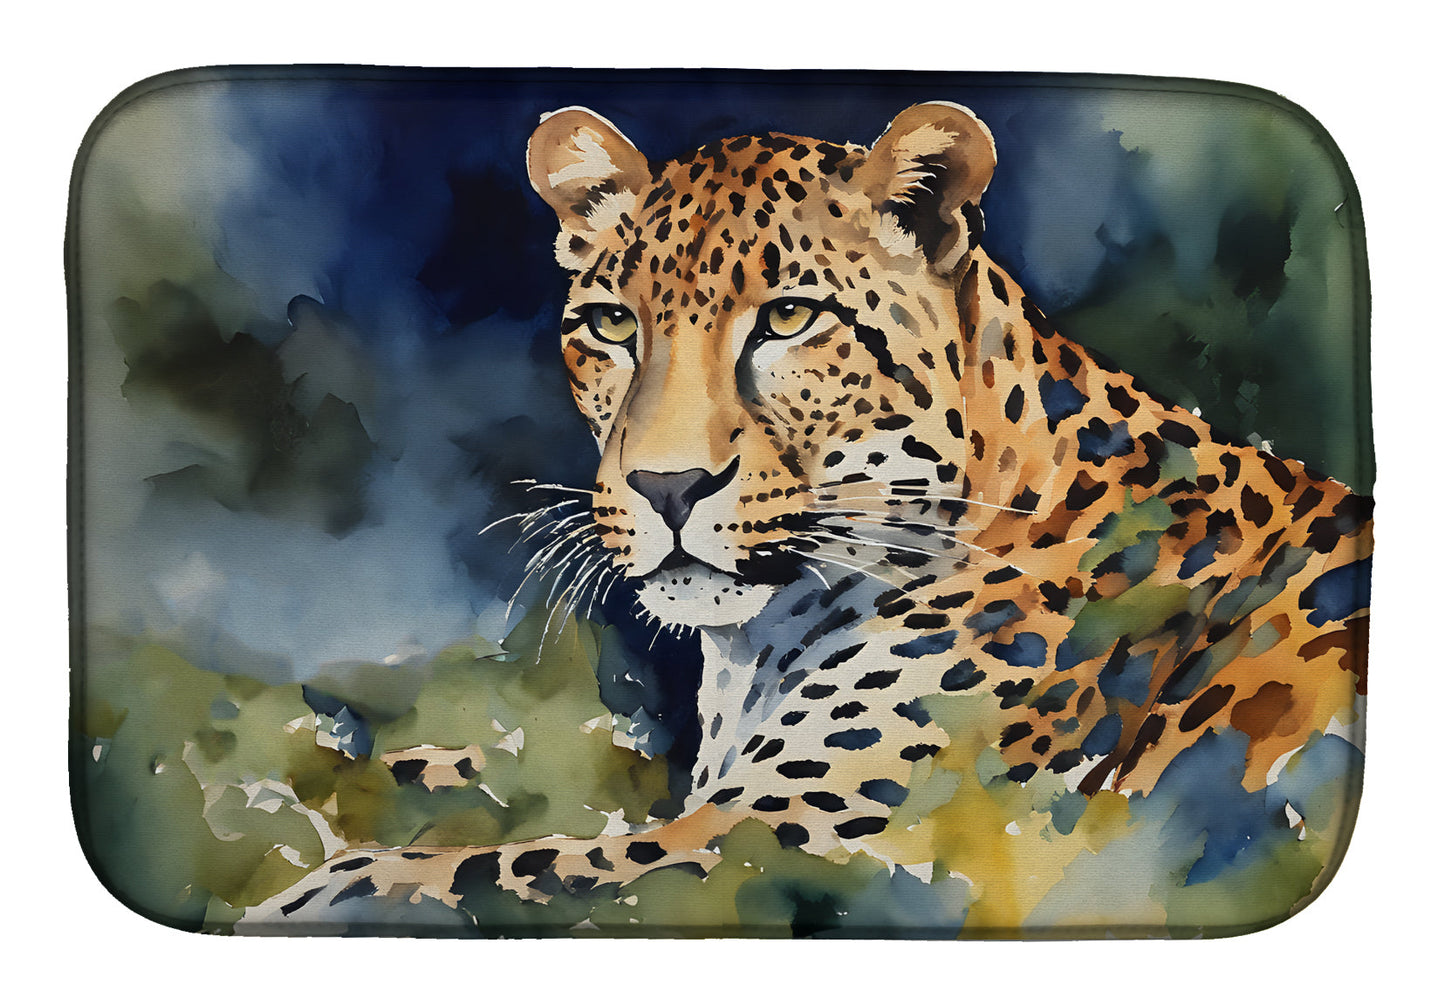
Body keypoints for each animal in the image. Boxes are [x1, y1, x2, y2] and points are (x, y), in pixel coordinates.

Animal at [239, 101, 1371, 935]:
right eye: (611, 325)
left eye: (788, 317)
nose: (667, 486)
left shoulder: (792, 839)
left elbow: (491, 872)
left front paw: (313, 892)